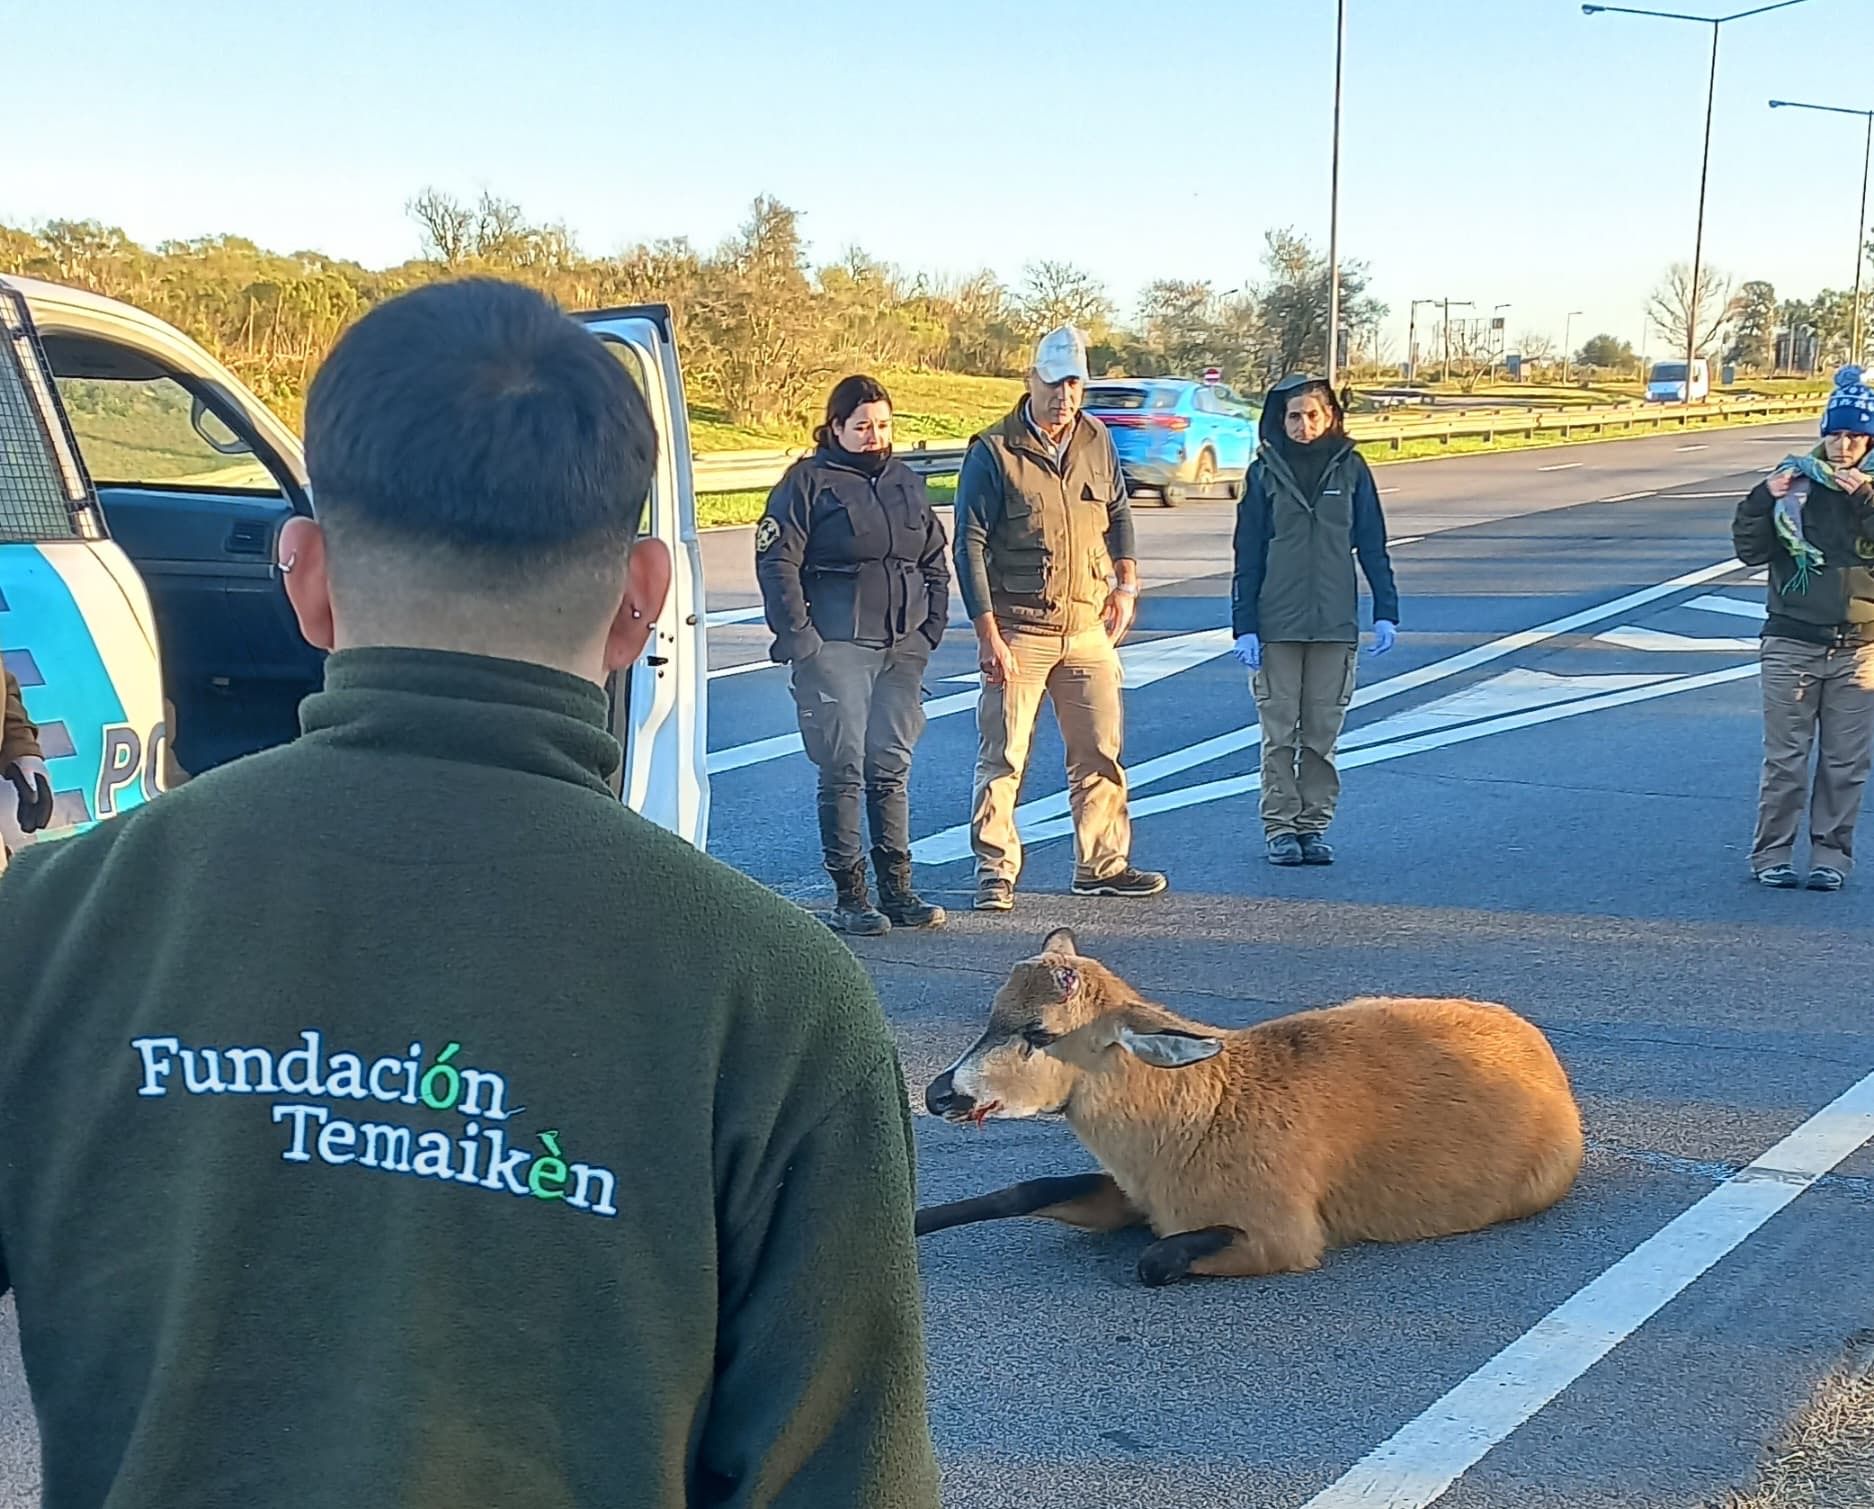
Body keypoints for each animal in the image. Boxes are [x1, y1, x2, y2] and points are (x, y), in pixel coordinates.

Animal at [919, 928, 1584, 1286]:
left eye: (1040, 1033)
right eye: (992, 1017)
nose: (937, 1094)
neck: (1196, 1120)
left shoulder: (1286, 1236)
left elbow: (1155, 1259)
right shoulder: (1135, 1194)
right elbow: (1027, 1190)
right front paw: (918, 1220)